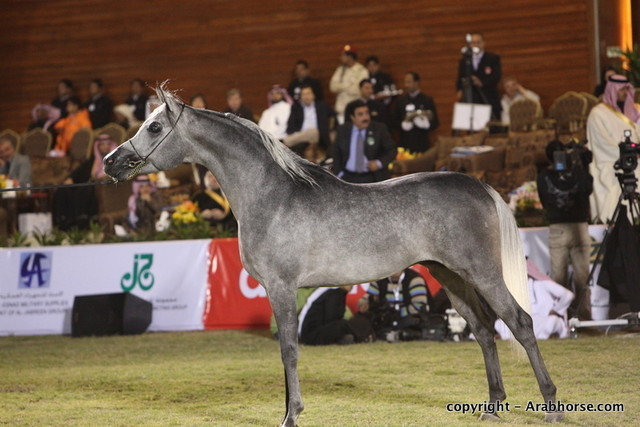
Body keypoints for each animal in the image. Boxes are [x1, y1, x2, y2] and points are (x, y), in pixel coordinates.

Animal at [104, 85, 564, 426]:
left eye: (154, 126)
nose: (110, 161)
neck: (274, 195)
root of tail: (479, 185)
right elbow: (284, 350)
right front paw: (288, 410)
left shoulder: (282, 287)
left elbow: (289, 349)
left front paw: (291, 415)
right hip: (450, 277)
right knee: (484, 331)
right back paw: (493, 407)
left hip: (482, 273)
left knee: (519, 323)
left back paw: (551, 406)